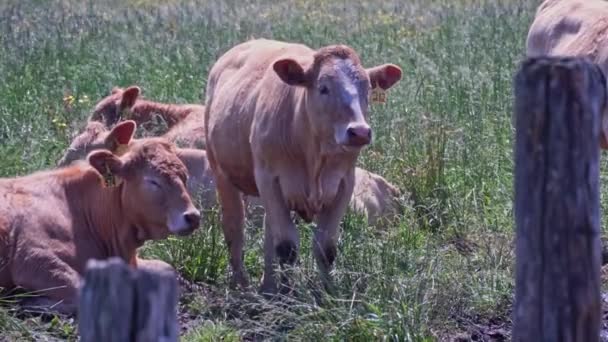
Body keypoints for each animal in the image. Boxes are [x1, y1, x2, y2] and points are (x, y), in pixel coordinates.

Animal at [0, 121, 200, 314]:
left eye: (185, 177)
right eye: (153, 181)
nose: (193, 216)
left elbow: (166, 267)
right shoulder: (31, 256)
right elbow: (80, 291)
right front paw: (30, 302)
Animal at [205, 38, 404, 294]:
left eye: (367, 89)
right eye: (323, 88)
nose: (359, 132)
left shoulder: (343, 183)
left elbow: (325, 247)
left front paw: (328, 293)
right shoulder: (270, 179)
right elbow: (287, 247)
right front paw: (287, 294)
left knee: (269, 231)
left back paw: (268, 285)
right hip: (222, 174)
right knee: (234, 227)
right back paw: (241, 283)